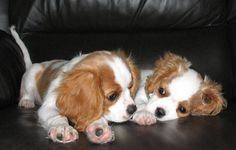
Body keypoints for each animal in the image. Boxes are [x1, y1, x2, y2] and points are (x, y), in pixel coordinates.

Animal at [11, 26, 139, 144]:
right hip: (31, 76)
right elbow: (57, 116)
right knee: (26, 93)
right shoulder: (48, 107)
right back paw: (26, 101)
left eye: (130, 87)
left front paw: (99, 128)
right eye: (112, 96)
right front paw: (62, 128)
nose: (133, 109)